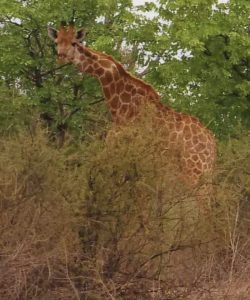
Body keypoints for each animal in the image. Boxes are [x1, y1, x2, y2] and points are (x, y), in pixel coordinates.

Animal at [48, 25, 215, 189]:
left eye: (74, 43)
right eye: (56, 42)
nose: (60, 58)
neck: (120, 108)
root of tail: (213, 148)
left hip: (194, 172)